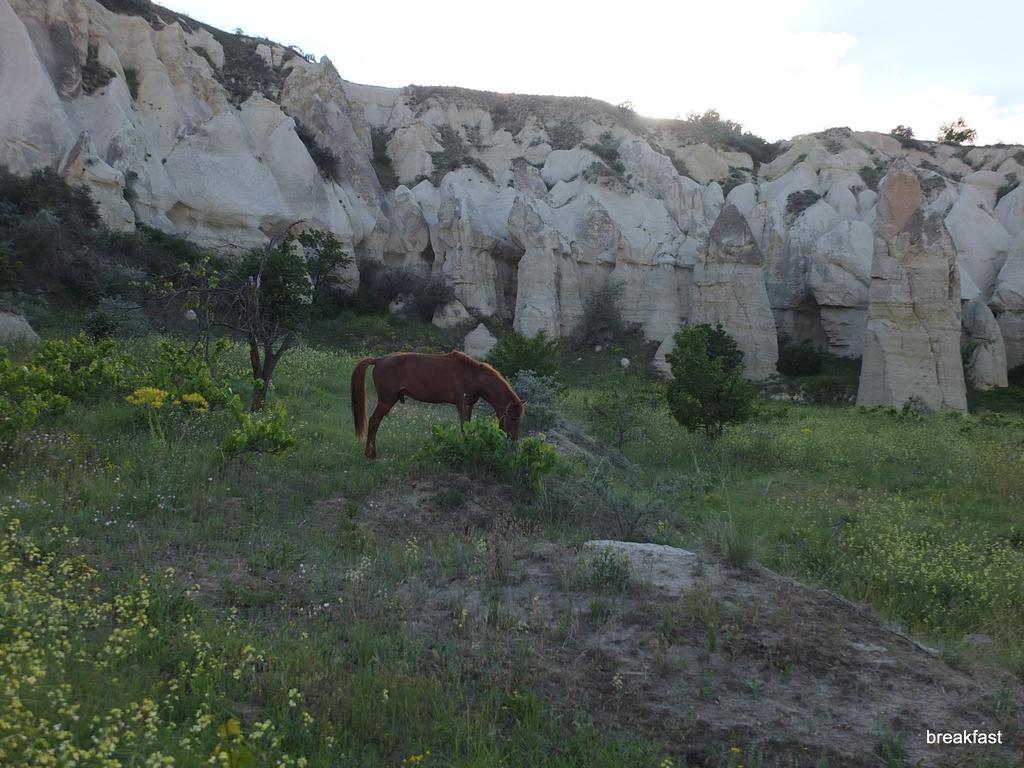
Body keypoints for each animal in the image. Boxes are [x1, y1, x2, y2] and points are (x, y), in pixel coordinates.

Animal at [352, 352, 528, 460]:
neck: (474, 375)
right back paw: (370, 454)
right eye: (513, 418)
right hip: (386, 400)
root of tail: (378, 360)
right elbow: (464, 428)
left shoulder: (469, 405)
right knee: (374, 421)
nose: (513, 440)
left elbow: (468, 427)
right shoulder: (461, 405)